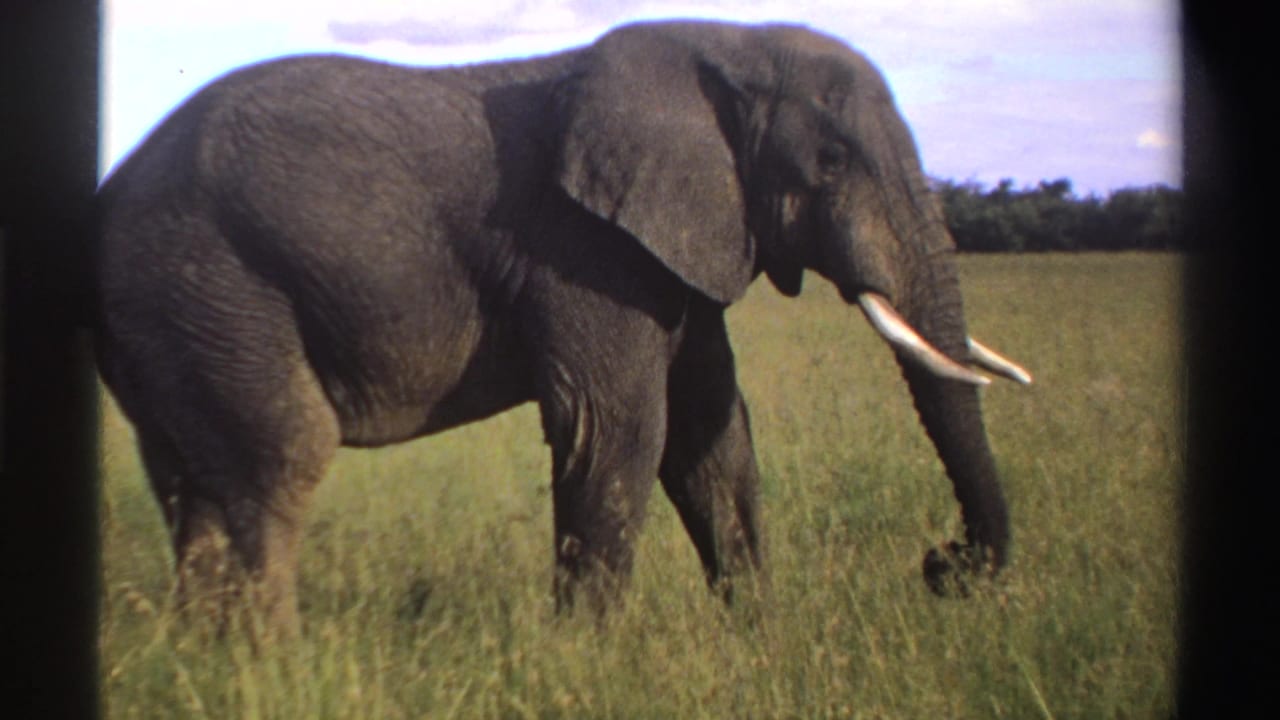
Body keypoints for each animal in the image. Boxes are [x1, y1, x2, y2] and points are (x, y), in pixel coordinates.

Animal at [95, 19, 1031, 635]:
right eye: (831, 163)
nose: (942, 564)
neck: (726, 42)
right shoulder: (583, 248)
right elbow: (619, 428)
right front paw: (589, 660)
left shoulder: (667, 250)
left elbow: (713, 436)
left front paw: (758, 638)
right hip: (209, 280)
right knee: (279, 459)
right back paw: (274, 666)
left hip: (172, 317)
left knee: (193, 487)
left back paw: (209, 661)